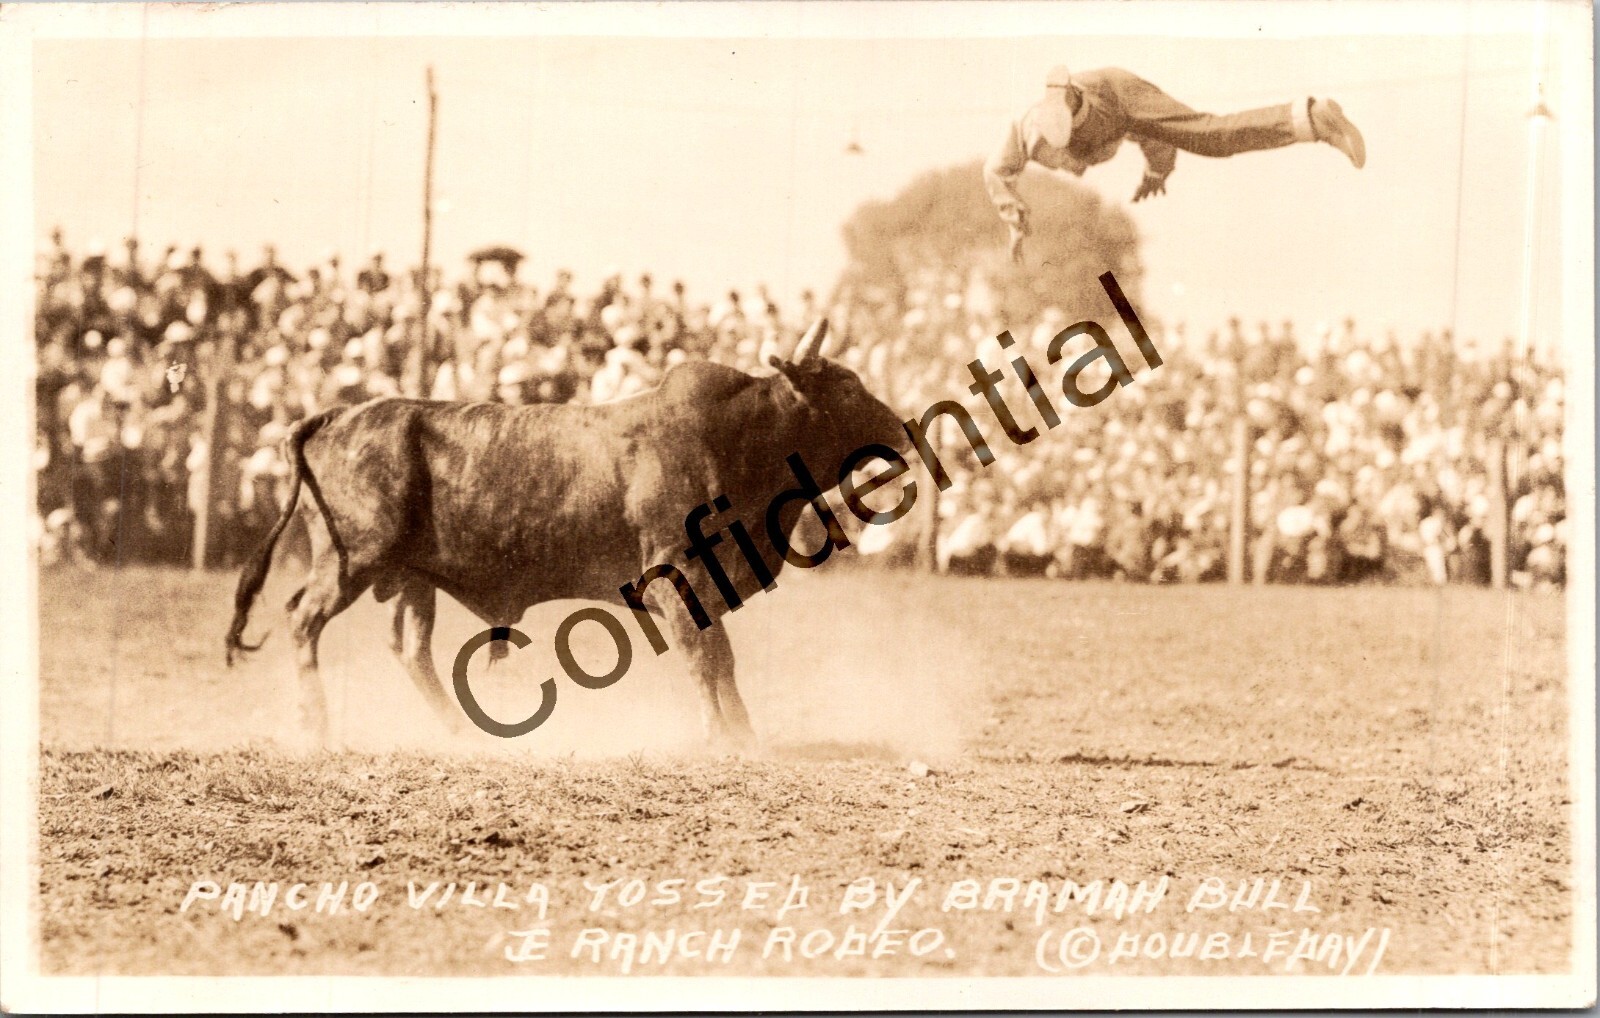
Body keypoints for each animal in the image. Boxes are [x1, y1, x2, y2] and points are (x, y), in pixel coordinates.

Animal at [224, 320, 910, 747]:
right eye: (848, 386)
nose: (902, 427)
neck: (735, 438)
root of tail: (340, 413)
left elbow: (723, 660)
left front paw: (743, 733)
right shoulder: (678, 577)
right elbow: (705, 657)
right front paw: (720, 736)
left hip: (414, 578)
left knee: (411, 650)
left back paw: (459, 733)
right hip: (351, 563)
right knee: (303, 621)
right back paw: (316, 727)